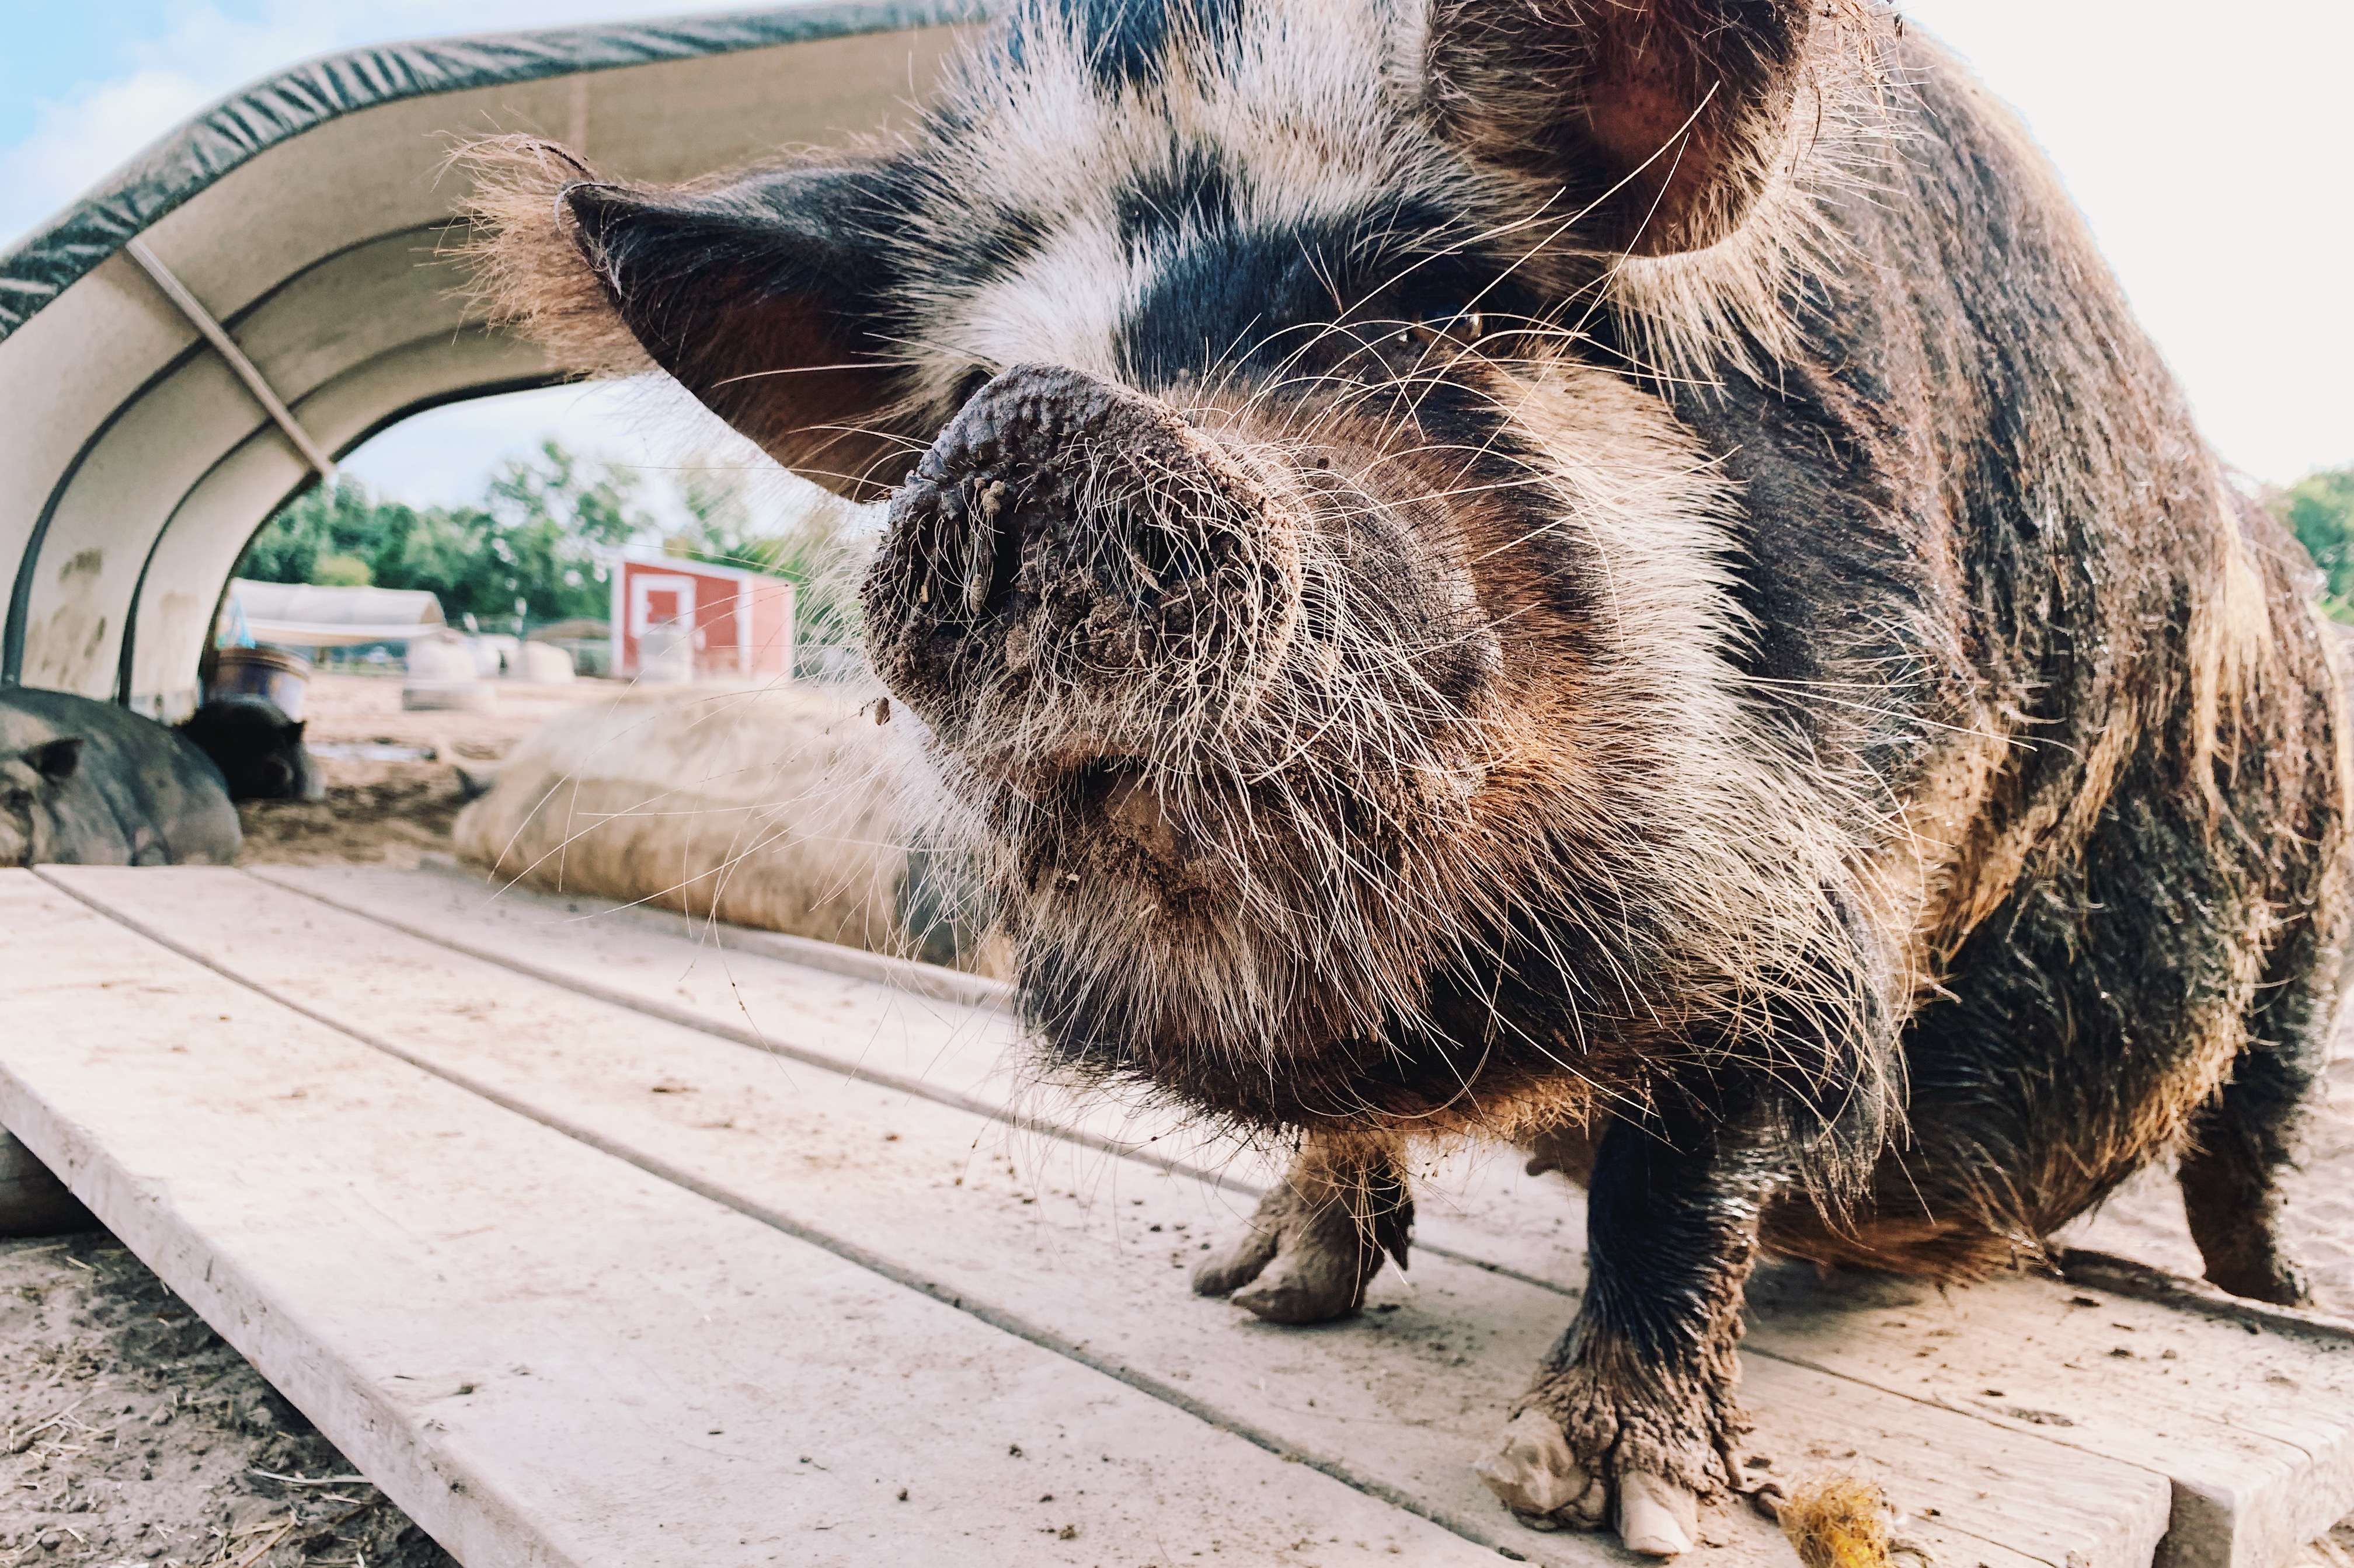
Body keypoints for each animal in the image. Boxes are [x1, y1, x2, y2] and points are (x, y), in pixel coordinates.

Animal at [466, 0, 2352, 1554]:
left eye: (1398, 316)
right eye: (974, 384)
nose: (1026, 433)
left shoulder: (1842, 869)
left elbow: (1696, 1149)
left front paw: (1610, 1499)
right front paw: (1250, 1292)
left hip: (2307, 918)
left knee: (2250, 1132)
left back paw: (2279, 1299)